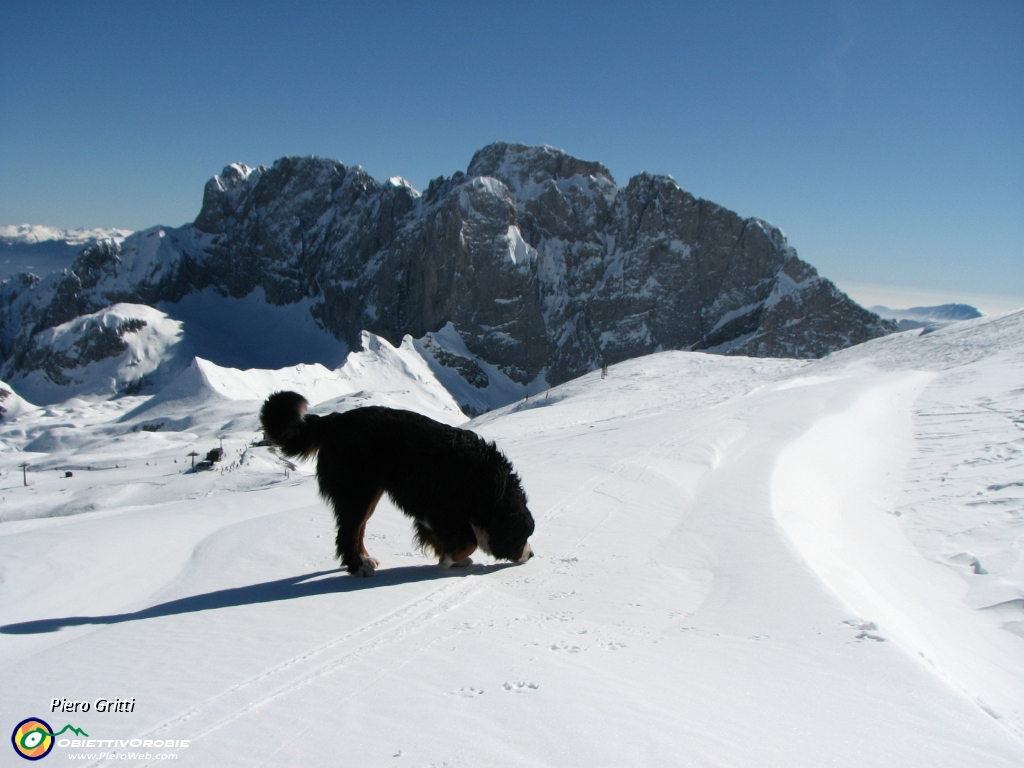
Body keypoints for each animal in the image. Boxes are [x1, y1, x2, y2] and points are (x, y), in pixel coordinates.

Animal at [260, 391, 536, 577]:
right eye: (523, 535)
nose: (531, 554)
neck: (492, 491)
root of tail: (335, 420)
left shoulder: (432, 513)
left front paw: (451, 558)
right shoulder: (440, 508)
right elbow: (468, 542)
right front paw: (448, 560)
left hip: (371, 492)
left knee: (359, 529)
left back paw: (365, 559)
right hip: (360, 489)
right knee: (348, 532)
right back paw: (357, 567)